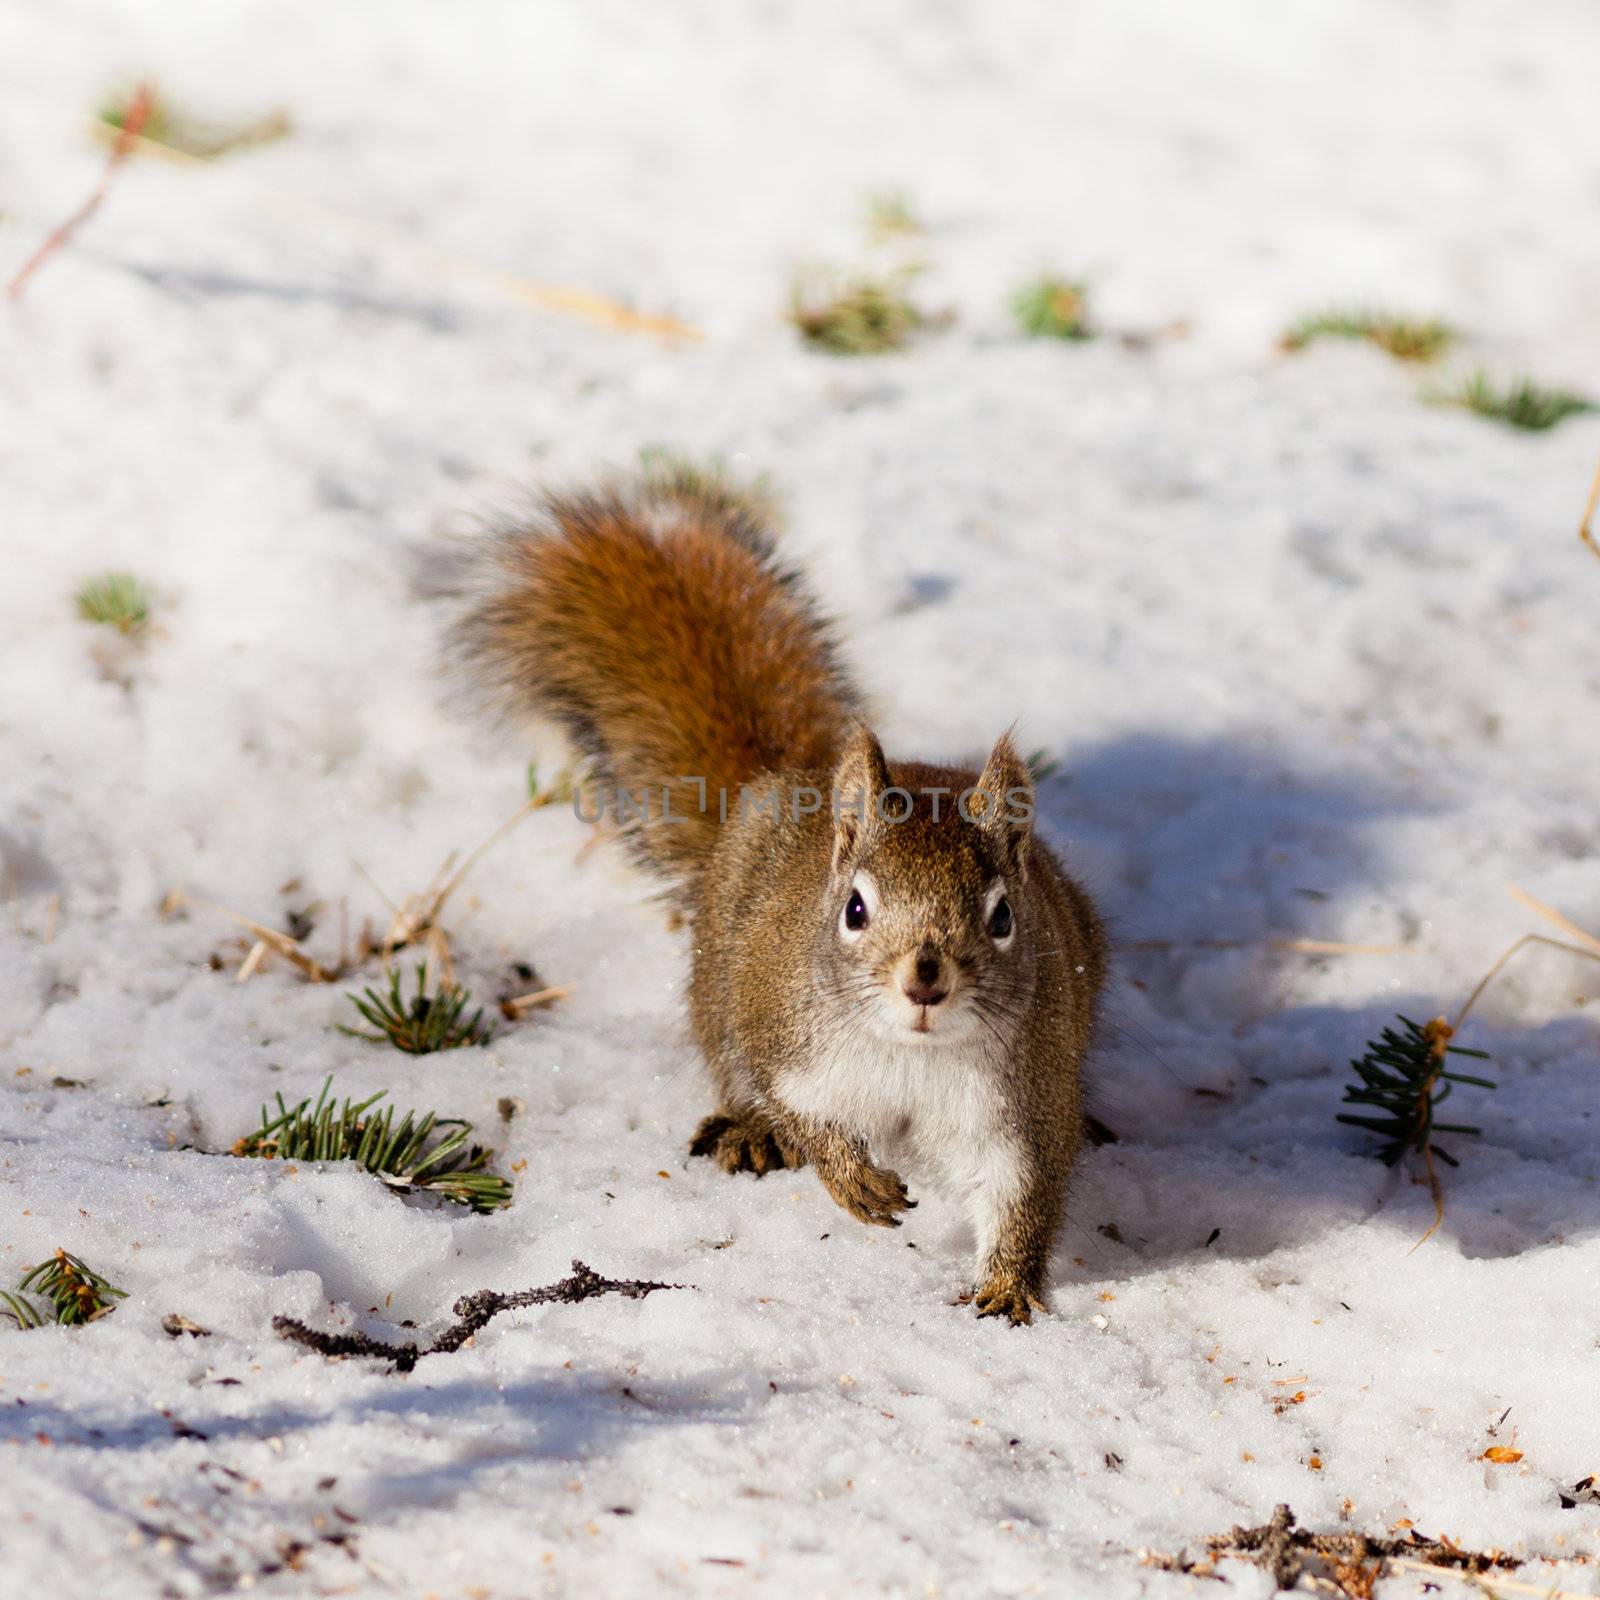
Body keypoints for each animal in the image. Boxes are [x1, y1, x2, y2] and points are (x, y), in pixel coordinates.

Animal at [451, 467, 1100, 1324]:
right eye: (854, 909)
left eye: (1002, 917)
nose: (925, 981)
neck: (911, 1056)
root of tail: (795, 779)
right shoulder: (787, 1041)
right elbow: (803, 1111)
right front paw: (848, 1175)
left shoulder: (1021, 1111)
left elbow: (1020, 1199)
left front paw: (1006, 1292)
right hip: (723, 980)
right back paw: (752, 1131)